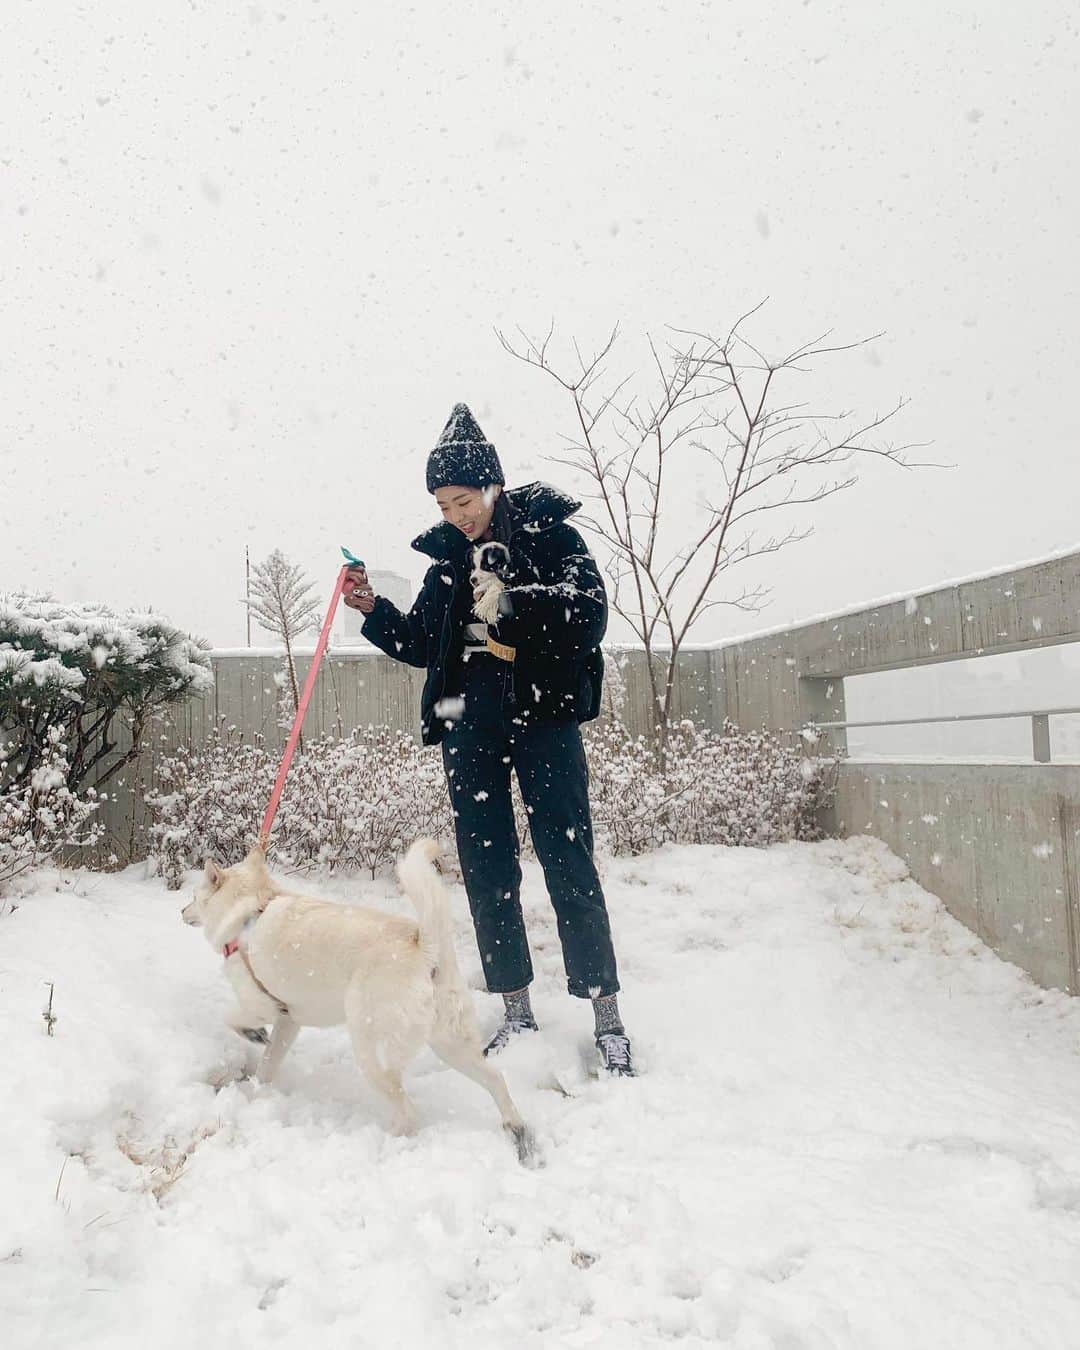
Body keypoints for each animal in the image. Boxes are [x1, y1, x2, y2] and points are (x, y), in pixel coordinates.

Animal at [182, 831, 534, 1161]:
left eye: (194, 896)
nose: (181, 911)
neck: (252, 908)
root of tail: (424, 947)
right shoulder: (288, 1021)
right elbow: (268, 1064)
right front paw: (257, 1092)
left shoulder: (261, 1005)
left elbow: (230, 1017)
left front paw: (252, 1035)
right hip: (451, 1044)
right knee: (496, 1079)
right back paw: (518, 1133)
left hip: (372, 1053)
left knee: (408, 1111)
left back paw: (385, 1143)